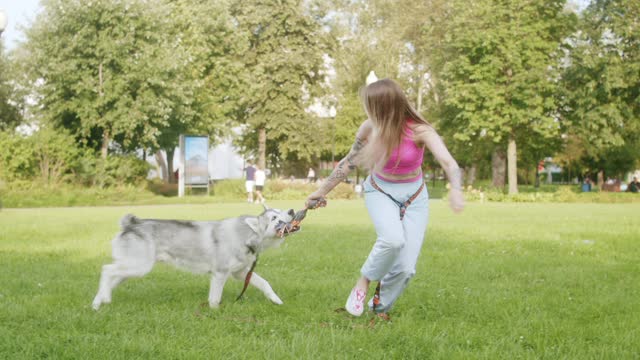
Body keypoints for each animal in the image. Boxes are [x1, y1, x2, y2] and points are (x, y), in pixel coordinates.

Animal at [92, 207, 298, 310]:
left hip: (131, 269)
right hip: (138, 267)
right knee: (106, 270)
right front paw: (215, 312)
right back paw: (101, 301)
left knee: (110, 278)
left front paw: (276, 300)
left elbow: (265, 283)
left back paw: (100, 301)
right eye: (274, 218)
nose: (291, 210)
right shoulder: (220, 273)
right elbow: (214, 298)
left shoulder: (241, 273)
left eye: (280, 210)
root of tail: (131, 224)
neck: (245, 235)